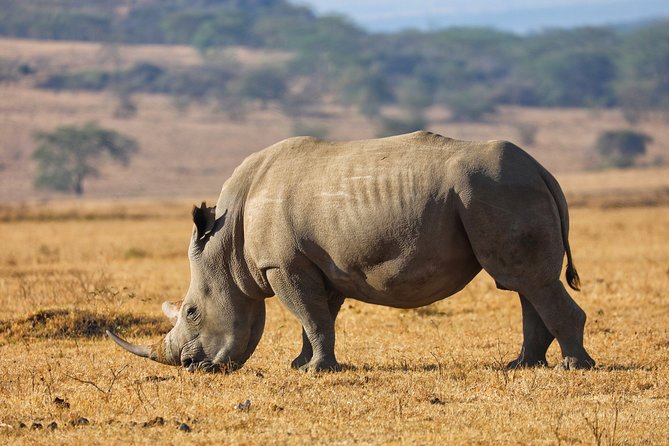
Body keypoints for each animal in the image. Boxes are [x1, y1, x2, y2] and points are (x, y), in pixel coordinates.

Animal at [107, 131, 595, 372]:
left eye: (191, 312)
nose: (190, 366)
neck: (227, 250)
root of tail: (543, 170)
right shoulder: (319, 264)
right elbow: (318, 318)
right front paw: (301, 364)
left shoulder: (283, 263)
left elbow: (311, 316)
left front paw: (315, 372)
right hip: (502, 188)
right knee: (525, 283)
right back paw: (524, 365)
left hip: (498, 188)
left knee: (527, 280)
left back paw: (573, 368)